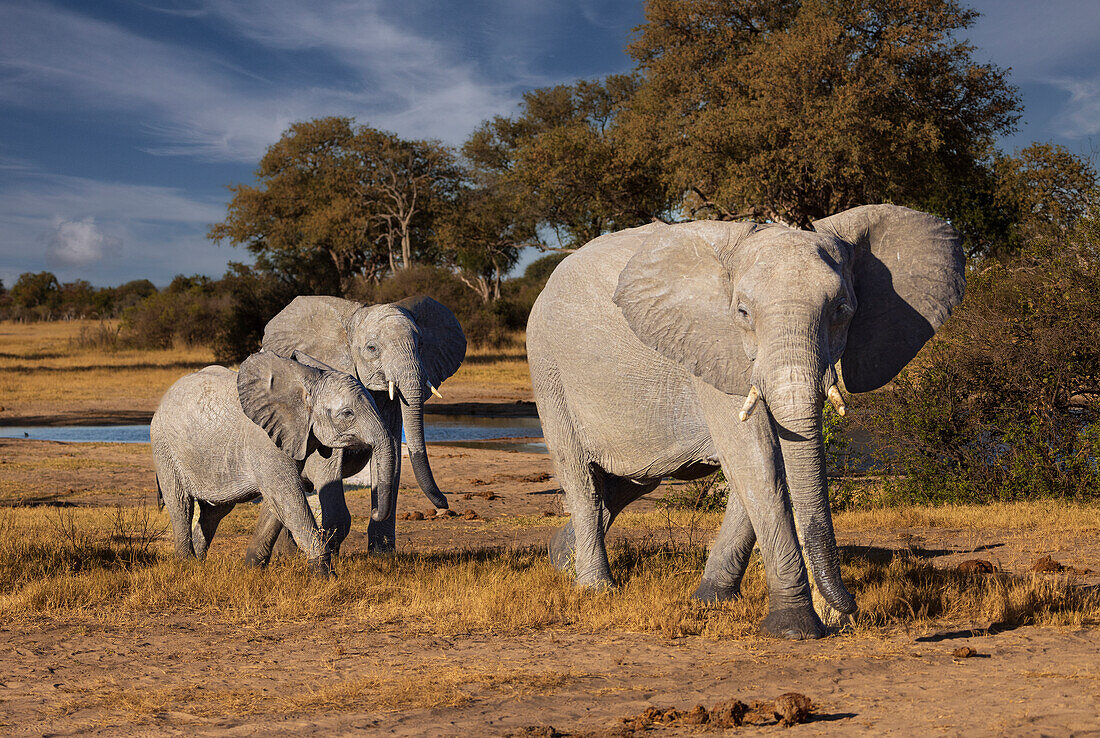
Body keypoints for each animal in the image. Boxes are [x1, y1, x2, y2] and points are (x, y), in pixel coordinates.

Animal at [151, 351, 396, 576]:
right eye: (347, 413)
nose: (374, 511)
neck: (308, 380)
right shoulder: (265, 441)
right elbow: (288, 496)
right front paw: (326, 576)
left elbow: (276, 503)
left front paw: (252, 570)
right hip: (163, 445)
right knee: (181, 503)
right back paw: (186, 564)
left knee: (215, 511)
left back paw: (199, 562)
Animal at [243, 292, 466, 560]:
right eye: (372, 348)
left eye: (421, 345)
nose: (444, 502)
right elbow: (327, 464)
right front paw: (332, 548)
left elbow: (390, 454)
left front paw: (382, 556)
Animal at [528, 203, 968, 642]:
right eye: (742, 313)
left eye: (842, 310)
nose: (849, 609)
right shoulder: (716, 347)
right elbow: (758, 460)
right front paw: (794, 629)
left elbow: (765, 467)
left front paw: (711, 600)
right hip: (548, 368)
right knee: (582, 479)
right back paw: (596, 588)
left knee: (633, 481)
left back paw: (560, 558)